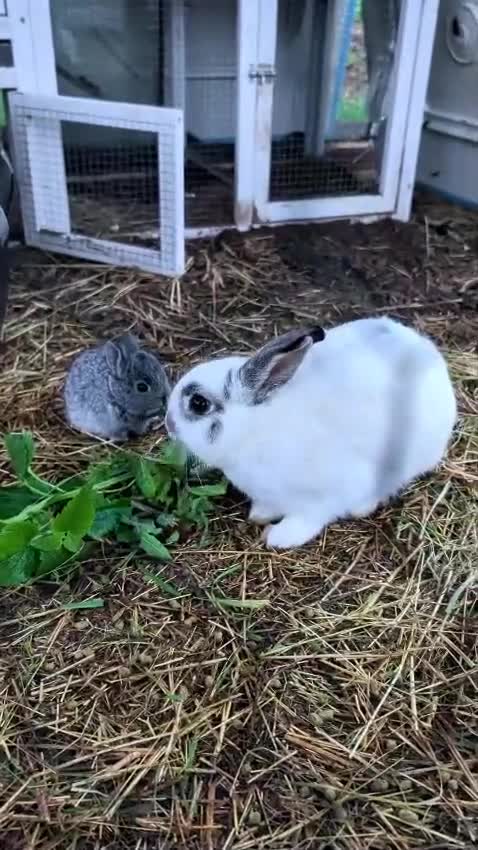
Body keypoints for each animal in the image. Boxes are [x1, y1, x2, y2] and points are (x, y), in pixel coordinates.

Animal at [165, 317, 457, 550]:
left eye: (198, 403)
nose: (168, 423)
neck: (252, 430)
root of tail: (429, 352)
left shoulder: (325, 497)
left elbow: (308, 519)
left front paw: (277, 537)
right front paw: (259, 516)